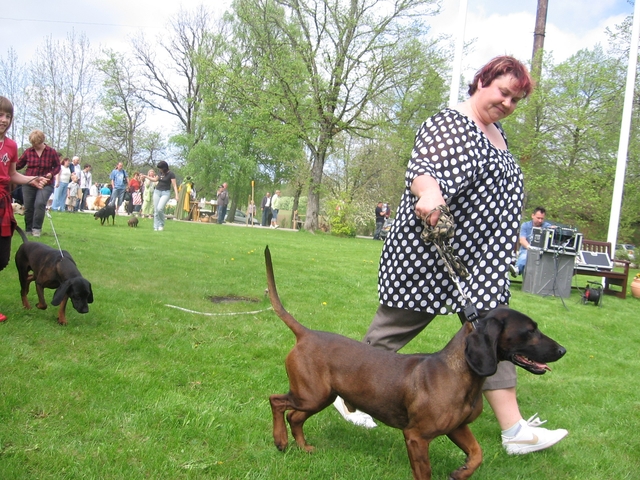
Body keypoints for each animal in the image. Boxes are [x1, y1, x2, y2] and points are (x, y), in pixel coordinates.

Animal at [264, 247, 566, 480]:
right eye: (529, 331)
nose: (563, 350)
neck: (459, 373)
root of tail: (306, 333)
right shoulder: (417, 437)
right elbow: (425, 473)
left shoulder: (458, 428)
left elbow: (477, 453)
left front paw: (462, 472)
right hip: (311, 395)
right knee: (276, 402)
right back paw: (280, 440)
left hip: (320, 397)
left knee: (295, 417)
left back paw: (302, 447)